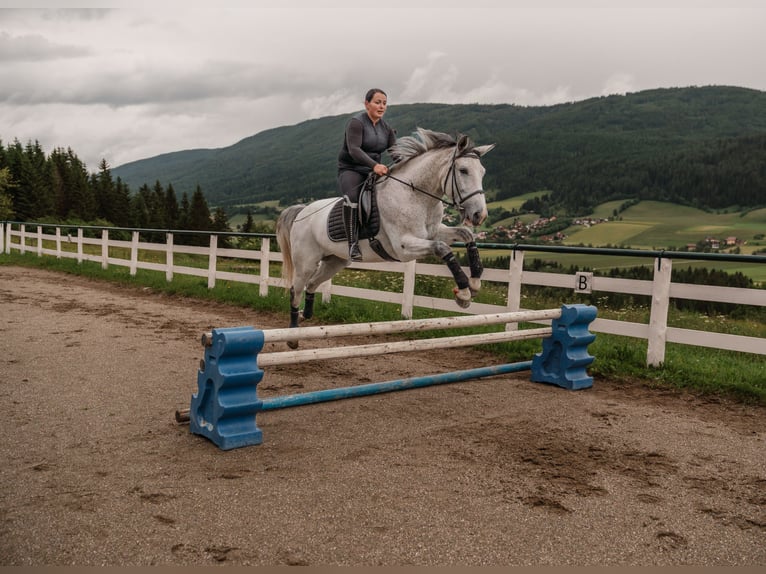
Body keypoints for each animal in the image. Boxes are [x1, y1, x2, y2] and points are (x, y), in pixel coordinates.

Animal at [278, 128, 498, 344]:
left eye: (483, 172)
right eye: (463, 170)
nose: (480, 215)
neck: (416, 195)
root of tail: (302, 211)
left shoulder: (435, 232)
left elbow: (466, 235)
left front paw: (474, 282)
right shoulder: (403, 247)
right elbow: (442, 248)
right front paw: (464, 291)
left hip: (335, 261)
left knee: (312, 285)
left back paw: (305, 316)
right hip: (306, 263)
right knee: (295, 290)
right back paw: (292, 335)